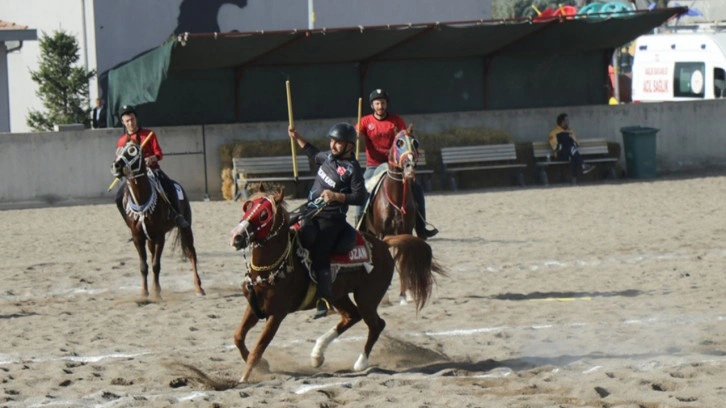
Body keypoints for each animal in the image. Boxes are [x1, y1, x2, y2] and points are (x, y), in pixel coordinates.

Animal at [112, 142, 206, 298]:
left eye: (132, 151)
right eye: (119, 150)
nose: (116, 166)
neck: (141, 200)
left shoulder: (159, 236)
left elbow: (156, 265)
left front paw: (156, 293)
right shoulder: (138, 237)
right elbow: (144, 266)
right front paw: (144, 292)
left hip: (186, 228)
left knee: (191, 254)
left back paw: (199, 288)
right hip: (150, 239)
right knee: (152, 256)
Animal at [230, 186, 446, 384]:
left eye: (264, 215)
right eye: (247, 206)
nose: (237, 236)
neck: (271, 267)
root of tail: (384, 243)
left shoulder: (277, 314)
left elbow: (258, 347)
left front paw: (244, 378)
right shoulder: (254, 307)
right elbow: (238, 336)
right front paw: (262, 365)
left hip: (367, 297)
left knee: (376, 324)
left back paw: (360, 363)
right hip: (339, 295)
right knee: (352, 316)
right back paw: (317, 354)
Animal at [362, 129, 424, 304]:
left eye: (415, 142)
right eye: (399, 142)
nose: (410, 166)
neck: (396, 199)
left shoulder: (405, 232)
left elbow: (402, 261)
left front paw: (404, 294)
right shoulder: (381, 233)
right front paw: (383, 297)